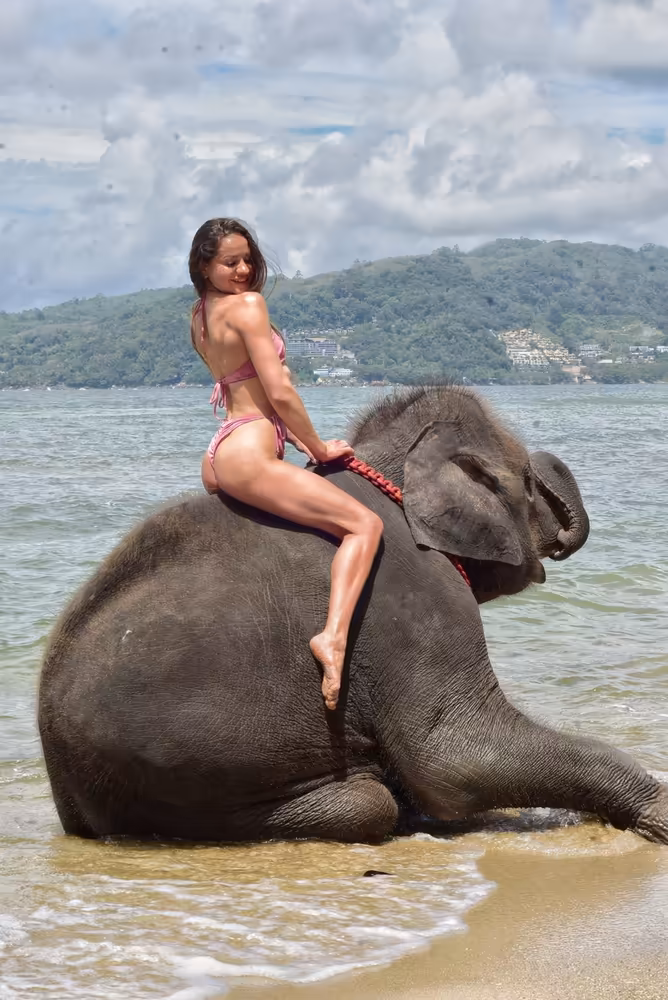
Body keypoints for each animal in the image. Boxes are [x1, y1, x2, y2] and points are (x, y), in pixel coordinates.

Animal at [38, 384, 668, 845]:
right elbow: (453, 758)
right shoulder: (414, 592)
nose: (550, 466)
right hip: (187, 769)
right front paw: (659, 812)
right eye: (527, 481)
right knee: (368, 805)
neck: (390, 467)